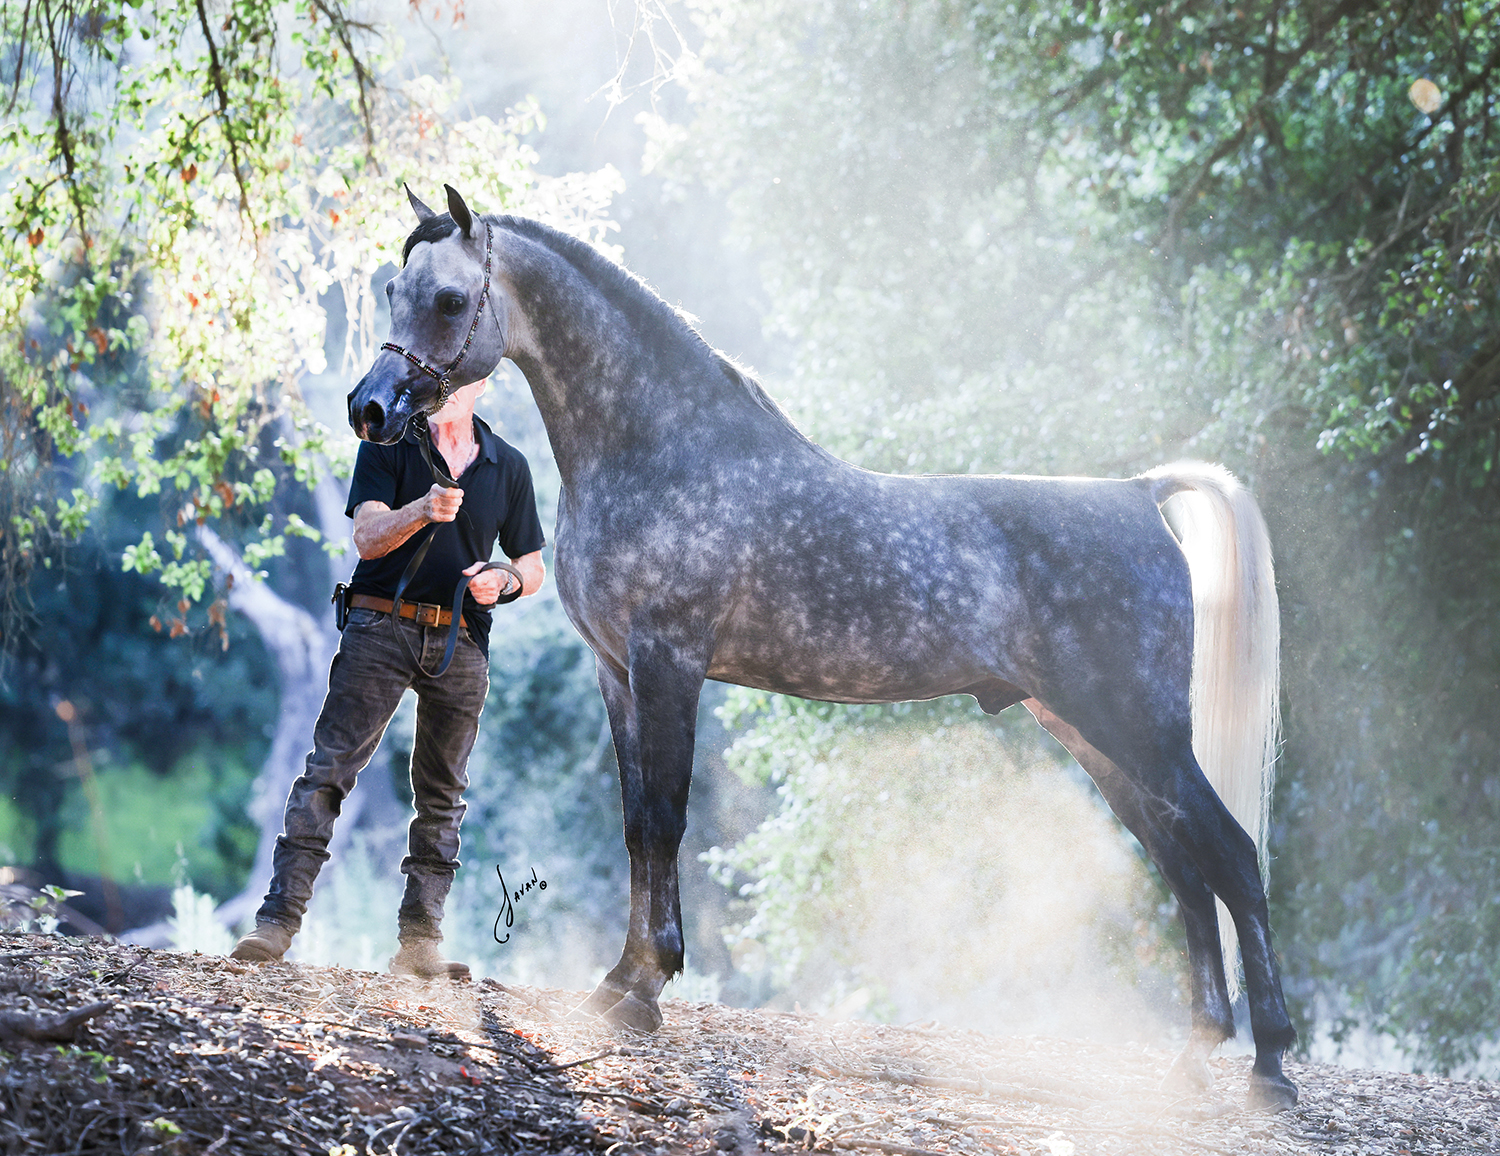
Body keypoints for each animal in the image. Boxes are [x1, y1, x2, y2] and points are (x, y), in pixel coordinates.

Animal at [348, 187, 1302, 1109]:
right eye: (392, 289)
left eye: (450, 298)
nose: (370, 408)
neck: (662, 454)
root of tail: (1142, 494)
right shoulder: (616, 671)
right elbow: (636, 826)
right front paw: (620, 982)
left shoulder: (669, 663)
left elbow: (665, 819)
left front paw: (645, 988)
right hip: (1095, 739)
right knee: (1184, 868)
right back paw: (1194, 1059)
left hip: (1139, 730)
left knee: (1231, 858)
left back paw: (1271, 1070)